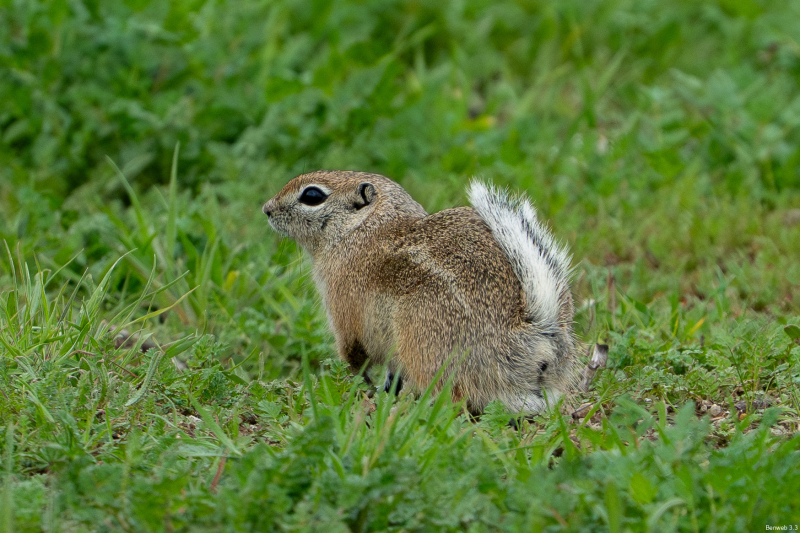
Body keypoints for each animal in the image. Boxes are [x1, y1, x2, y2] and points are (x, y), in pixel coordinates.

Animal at [263, 170, 578, 414]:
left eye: (312, 196)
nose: (267, 209)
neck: (365, 228)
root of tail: (531, 336)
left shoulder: (344, 310)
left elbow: (354, 356)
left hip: (421, 341)